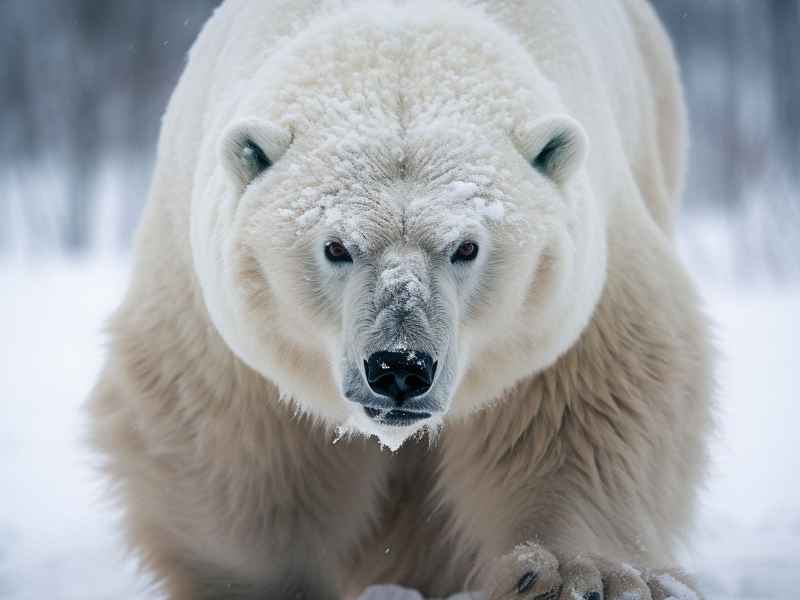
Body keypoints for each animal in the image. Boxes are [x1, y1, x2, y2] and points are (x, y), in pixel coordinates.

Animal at [88, 1, 713, 599]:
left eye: (466, 247)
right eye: (336, 246)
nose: (399, 367)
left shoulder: (584, 273)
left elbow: (594, 399)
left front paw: (575, 576)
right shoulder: (209, 299)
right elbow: (218, 428)